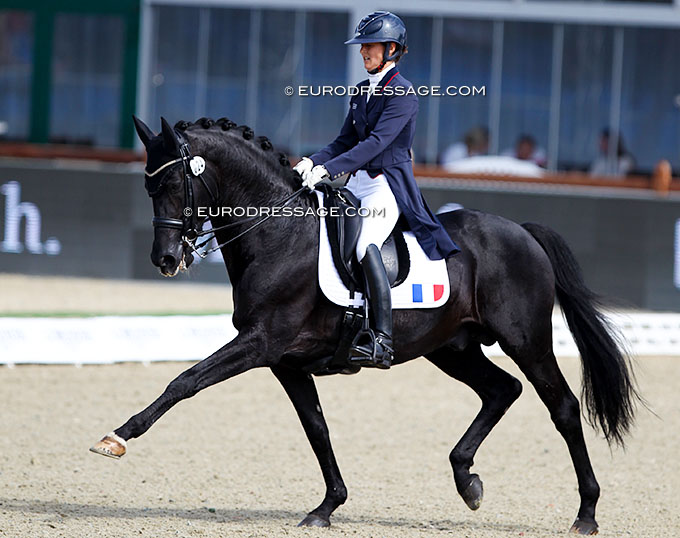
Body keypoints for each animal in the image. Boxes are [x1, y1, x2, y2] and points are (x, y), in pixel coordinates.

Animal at [90, 115, 640, 535]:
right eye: (148, 185)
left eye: (173, 184)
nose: (165, 260)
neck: (277, 233)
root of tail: (521, 232)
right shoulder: (286, 362)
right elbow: (316, 428)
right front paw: (327, 506)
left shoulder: (260, 342)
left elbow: (185, 380)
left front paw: (118, 436)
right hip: (453, 348)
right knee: (501, 390)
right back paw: (468, 481)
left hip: (527, 341)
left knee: (563, 408)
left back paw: (586, 514)